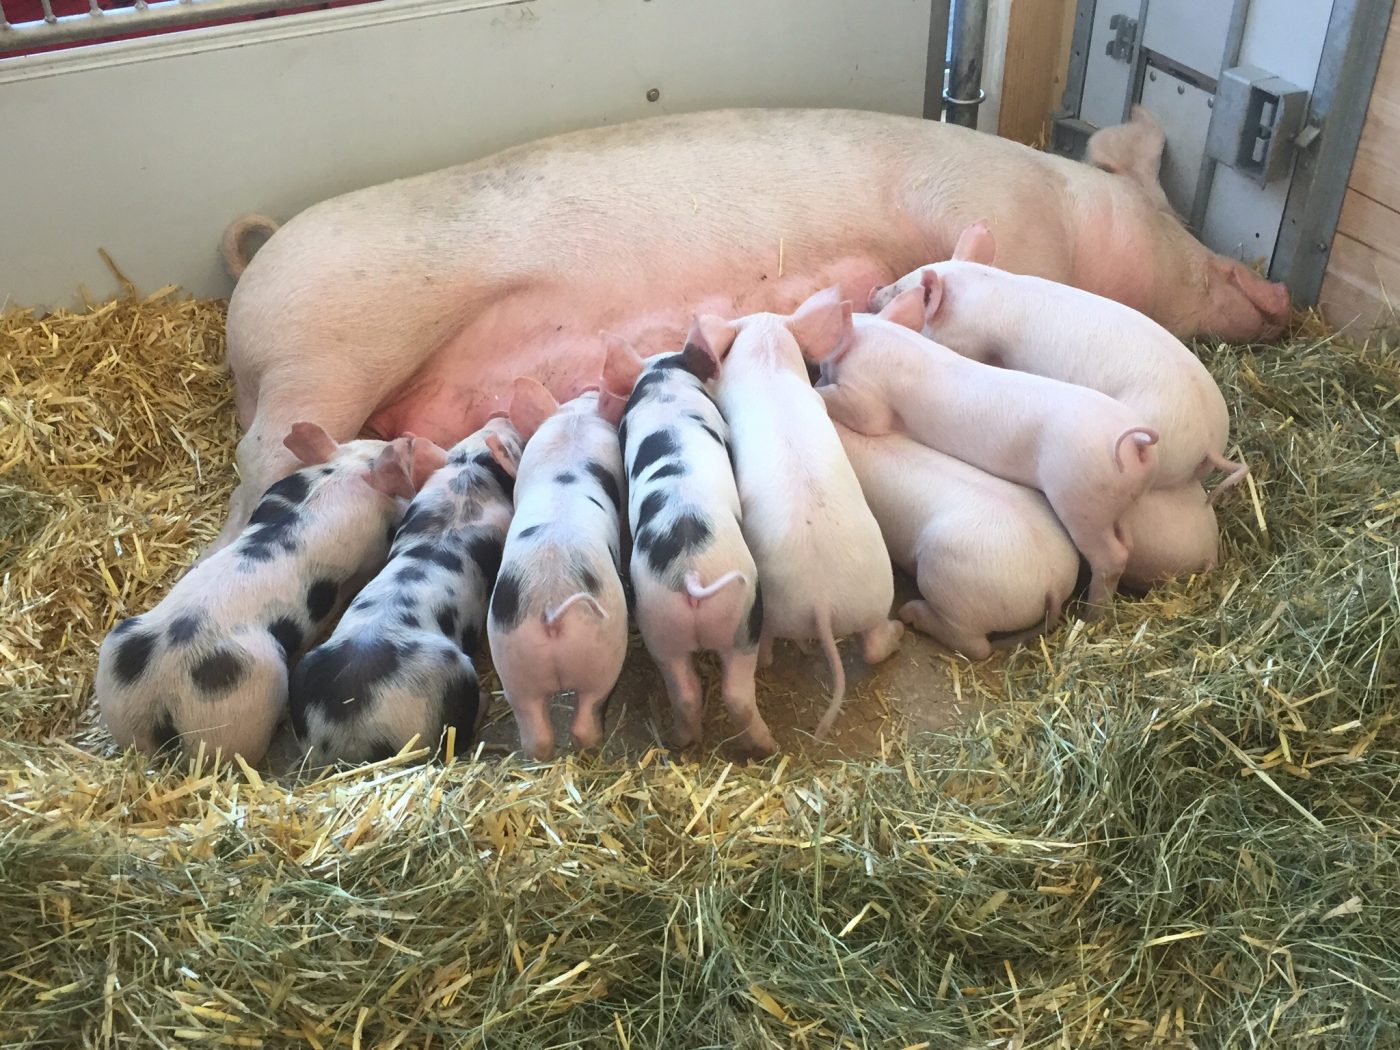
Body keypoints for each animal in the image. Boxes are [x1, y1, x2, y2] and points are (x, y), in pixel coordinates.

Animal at [486, 381, 628, 760]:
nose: (590, 385)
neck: (573, 426)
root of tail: (552, 606)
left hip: (512, 659)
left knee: (536, 733)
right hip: (606, 650)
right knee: (588, 713)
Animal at [600, 333, 773, 758]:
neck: (664, 383)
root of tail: (691, 571)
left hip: (660, 623)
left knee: (687, 691)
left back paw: (680, 740)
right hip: (744, 616)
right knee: (737, 691)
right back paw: (770, 746)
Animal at [697, 288, 904, 739]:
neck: (768, 362)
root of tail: (822, 601)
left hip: (772, 608)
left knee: (767, 652)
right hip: (875, 594)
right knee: (873, 644)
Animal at [813, 289, 1160, 613]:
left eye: (827, 356)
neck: (879, 339)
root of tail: (1135, 443)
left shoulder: (867, 397)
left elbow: (856, 411)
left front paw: (817, 390)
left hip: (1079, 495)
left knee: (1111, 556)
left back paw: (1091, 615)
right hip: (1114, 503)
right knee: (1127, 543)